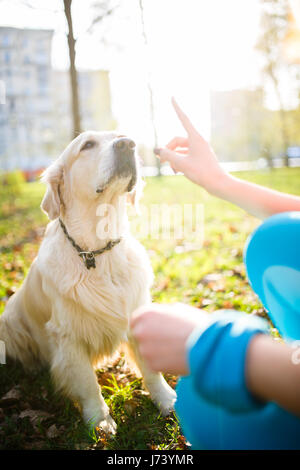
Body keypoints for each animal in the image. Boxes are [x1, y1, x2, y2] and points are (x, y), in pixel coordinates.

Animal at [0, 132, 177, 434]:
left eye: (121, 136)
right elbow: (87, 382)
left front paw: (165, 400)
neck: (96, 250)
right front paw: (99, 420)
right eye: (87, 145)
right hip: (9, 322)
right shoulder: (68, 336)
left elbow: (151, 369)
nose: (128, 144)